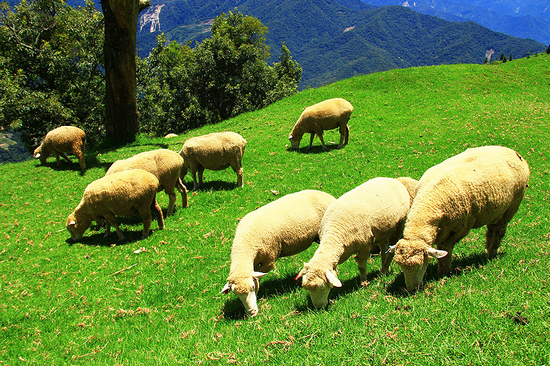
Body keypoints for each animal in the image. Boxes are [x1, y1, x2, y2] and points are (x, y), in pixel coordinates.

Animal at [298, 177, 418, 308]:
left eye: (323, 287)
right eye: (307, 289)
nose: (318, 308)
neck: (334, 234)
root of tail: (392, 179)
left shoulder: (364, 246)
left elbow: (362, 267)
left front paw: (364, 283)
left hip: (398, 227)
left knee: (390, 251)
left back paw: (384, 269)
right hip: (381, 231)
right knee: (383, 248)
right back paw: (383, 270)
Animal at [390, 146, 532, 292]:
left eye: (420, 265)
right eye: (401, 266)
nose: (411, 290)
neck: (429, 203)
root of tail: (511, 151)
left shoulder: (458, 229)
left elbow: (445, 249)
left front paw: (443, 273)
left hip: (512, 207)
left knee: (499, 232)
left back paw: (492, 253)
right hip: (495, 210)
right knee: (491, 230)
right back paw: (487, 250)